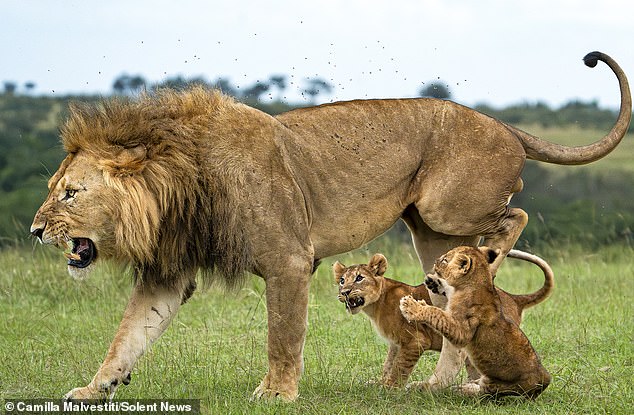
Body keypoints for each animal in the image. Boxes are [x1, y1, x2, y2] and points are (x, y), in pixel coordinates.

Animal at [33, 50, 628, 402]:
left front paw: (276, 394)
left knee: (515, 215)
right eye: (53, 189)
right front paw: (93, 389)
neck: (179, 180)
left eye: (70, 193)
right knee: (449, 303)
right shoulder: (168, 272)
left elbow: (282, 334)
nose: (38, 231)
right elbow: (128, 335)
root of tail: (504, 124)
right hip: (432, 232)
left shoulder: (289, 260)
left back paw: (493, 260)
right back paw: (438, 381)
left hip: (446, 208)